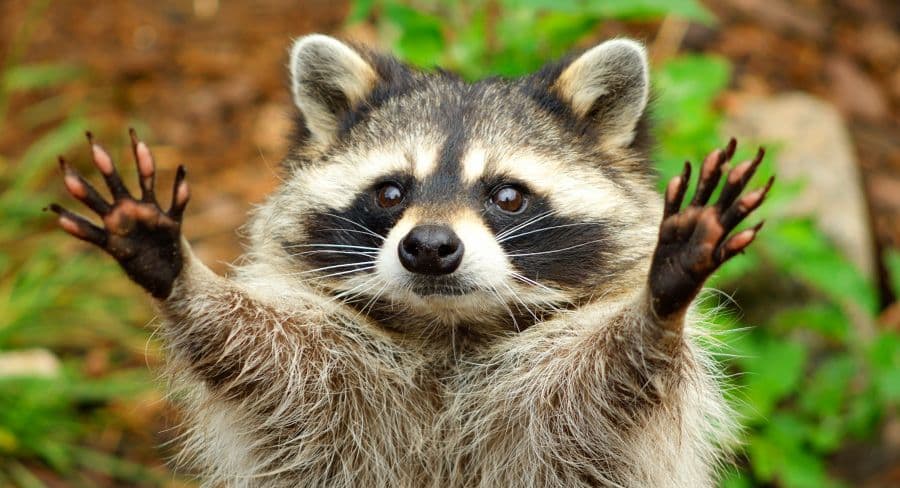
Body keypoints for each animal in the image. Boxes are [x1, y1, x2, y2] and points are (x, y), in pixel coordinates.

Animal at [51, 34, 772, 487]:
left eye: (507, 195)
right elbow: (252, 350)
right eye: (391, 192)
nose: (428, 246)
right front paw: (179, 275)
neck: (447, 330)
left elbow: (616, 379)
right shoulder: (324, 380)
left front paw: (659, 303)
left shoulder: (574, 420)